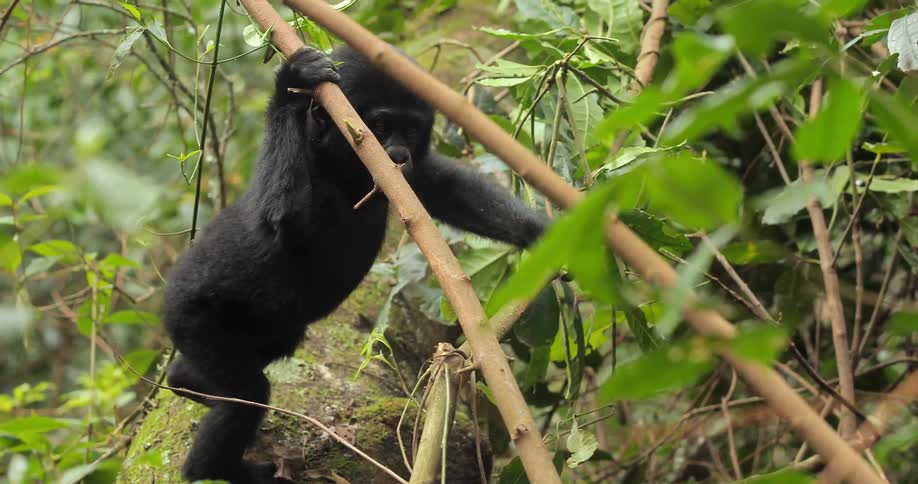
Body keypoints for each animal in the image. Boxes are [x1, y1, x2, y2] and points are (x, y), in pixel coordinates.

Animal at [162, 45, 549, 483]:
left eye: (411, 129)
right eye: (378, 125)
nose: (397, 155)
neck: (342, 167)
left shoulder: (403, 176)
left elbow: (438, 185)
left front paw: (547, 232)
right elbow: (284, 215)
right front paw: (292, 82)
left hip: (268, 332)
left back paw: (184, 381)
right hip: (194, 320)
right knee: (245, 395)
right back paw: (215, 468)